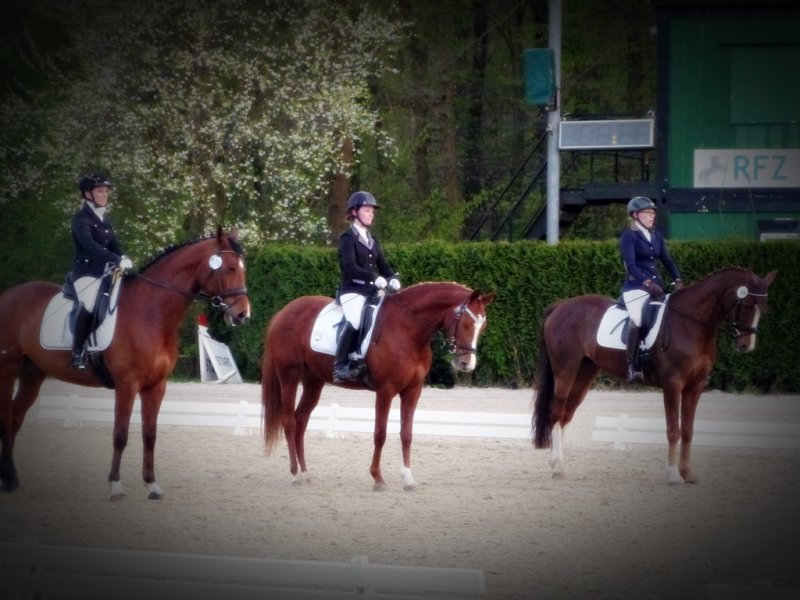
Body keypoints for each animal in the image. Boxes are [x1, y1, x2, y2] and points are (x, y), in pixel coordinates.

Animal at [0, 227, 251, 500]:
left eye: (243, 268)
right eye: (229, 269)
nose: (243, 315)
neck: (151, 312)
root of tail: (9, 294)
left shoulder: (156, 386)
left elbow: (150, 434)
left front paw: (151, 485)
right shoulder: (127, 385)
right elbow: (120, 434)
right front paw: (116, 485)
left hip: (33, 372)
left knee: (15, 417)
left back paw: (12, 479)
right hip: (8, 368)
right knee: (7, 417)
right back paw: (9, 479)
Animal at [261, 282, 495, 491]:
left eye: (483, 327)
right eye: (466, 323)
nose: (467, 364)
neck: (408, 328)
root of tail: (283, 312)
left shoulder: (413, 391)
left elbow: (407, 434)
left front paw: (408, 479)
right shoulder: (385, 390)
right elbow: (380, 434)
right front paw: (378, 479)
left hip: (313, 380)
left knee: (301, 420)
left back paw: (306, 472)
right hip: (289, 375)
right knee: (289, 422)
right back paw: (296, 475)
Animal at [532, 267, 777, 484]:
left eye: (763, 309)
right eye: (747, 304)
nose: (746, 346)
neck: (691, 324)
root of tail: (561, 305)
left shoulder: (695, 386)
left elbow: (688, 430)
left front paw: (688, 474)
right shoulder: (673, 385)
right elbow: (673, 430)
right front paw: (673, 475)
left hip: (585, 371)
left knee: (566, 414)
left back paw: (558, 464)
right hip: (566, 368)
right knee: (556, 411)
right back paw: (558, 467)